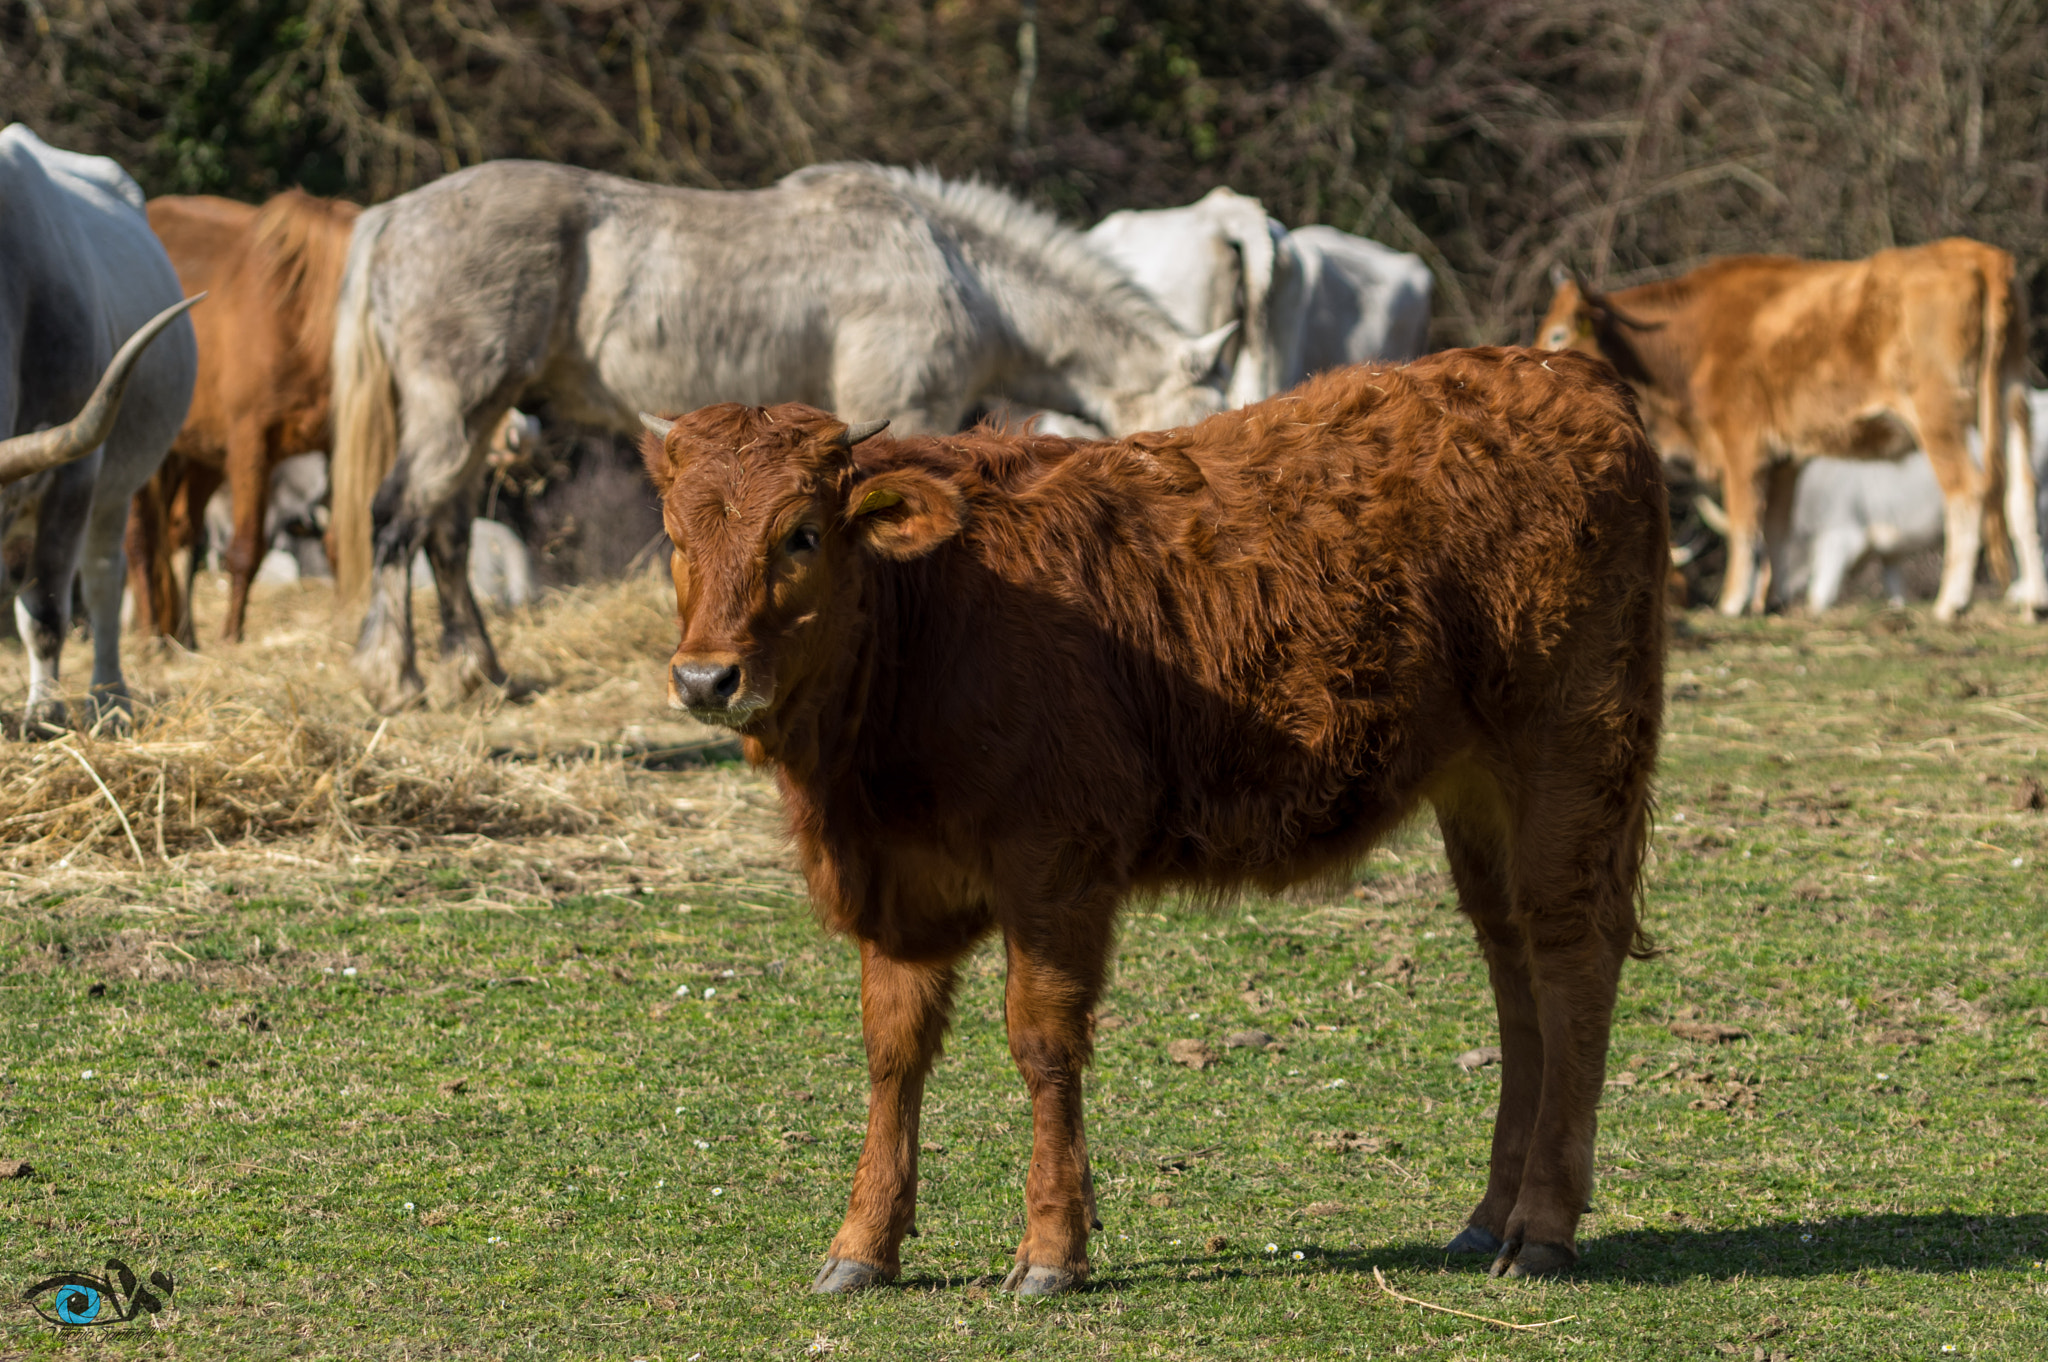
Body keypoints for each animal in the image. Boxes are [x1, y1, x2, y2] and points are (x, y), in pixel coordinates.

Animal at [1, 124, 198, 720]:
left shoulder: (74, 474)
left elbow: (45, 612)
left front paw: (43, 715)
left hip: (115, 491)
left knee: (106, 580)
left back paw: (109, 696)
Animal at [128, 187, 360, 647]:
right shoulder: (251, 442)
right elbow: (246, 548)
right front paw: (231, 638)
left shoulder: (337, 444)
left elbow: (338, 542)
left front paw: (346, 629)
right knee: (141, 539)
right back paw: (149, 640)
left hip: (201, 453)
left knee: (178, 533)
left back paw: (183, 639)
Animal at [331, 160, 1228, 712]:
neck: (955, 270)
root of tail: (393, 217)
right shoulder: (904, 408)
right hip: (456, 407)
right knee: (398, 520)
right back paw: (392, 678)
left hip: (481, 415)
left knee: (444, 532)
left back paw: (478, 672)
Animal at [638, 346, 1662, 1294]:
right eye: (677, 537)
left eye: (802, 534)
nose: (706, 678)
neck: (932, 621)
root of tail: (1560, 372)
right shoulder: (899, 885)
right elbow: (893, 1053)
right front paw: (863, 1243)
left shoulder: (1057, 865)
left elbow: (1043, 1044)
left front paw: (1052, 1248)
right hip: (1478, 793)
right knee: (1514, 967)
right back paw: (1489, 1218)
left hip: (1571, 755)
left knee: (1571, 959)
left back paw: (1542, 1228)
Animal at [1540, 241, 2039, 618]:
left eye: (1558, 334)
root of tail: (1974, 253)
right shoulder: (1784, 460)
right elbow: (1775, 530)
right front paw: (1771, 601)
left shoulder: (1741, 445)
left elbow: (1744, 524)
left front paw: (1733, 602)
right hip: (2011, 398)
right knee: (2021, 496)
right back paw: (2033, 600)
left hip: (1939, 415)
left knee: (1967, 492)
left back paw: (1952, 601)